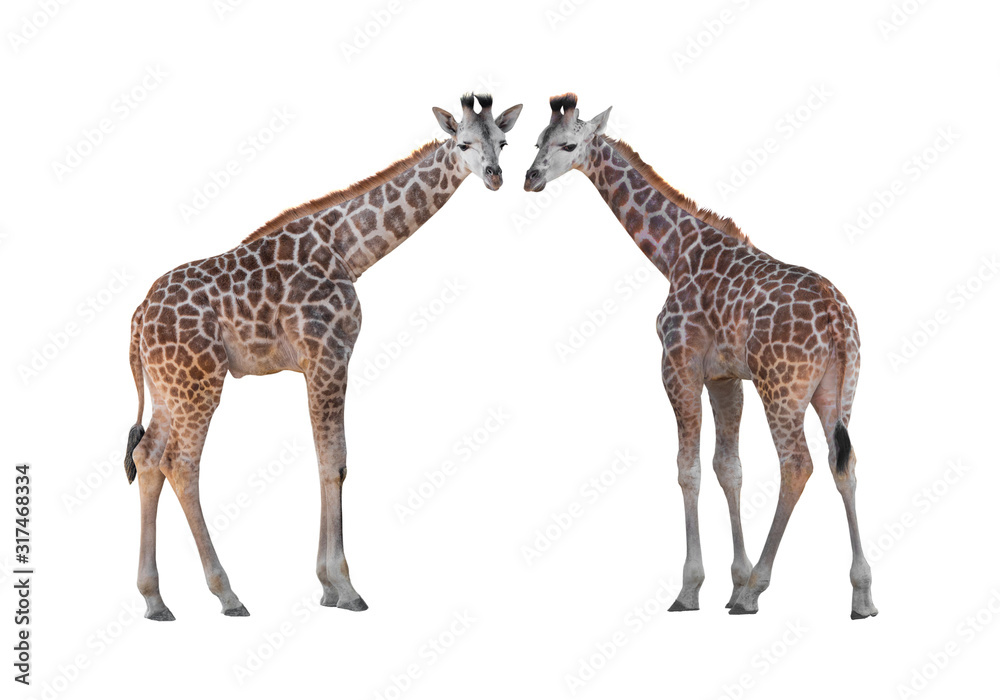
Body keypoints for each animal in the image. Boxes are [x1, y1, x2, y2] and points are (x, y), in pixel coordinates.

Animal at [123, 93, 522, 620]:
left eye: (503, 141)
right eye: (463, 143)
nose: (495, 176)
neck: (349, 250)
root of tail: (139, 314)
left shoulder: (319, 364)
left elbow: (325, 461)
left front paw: (326, 586)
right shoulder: (329, 356)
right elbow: (336, 462)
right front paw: (345, 587)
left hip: (168, 383)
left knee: (147, 457)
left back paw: (155, 599)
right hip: (200, 382)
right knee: (182, 463)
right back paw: (228, 594)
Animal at [524, 94, 877, 619]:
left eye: (569, 144)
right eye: (536, 142)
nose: (530, 178)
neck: (672, 252)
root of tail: (837, 317)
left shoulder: (679, 364)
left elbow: (687, 469)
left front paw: (693, 589)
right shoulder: (725, 377)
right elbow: (728, 468)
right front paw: (732, 579)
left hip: (782, 389)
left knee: (798, 465)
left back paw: (757, 591)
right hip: (838, 389)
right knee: (844, 464)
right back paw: (862, 594)